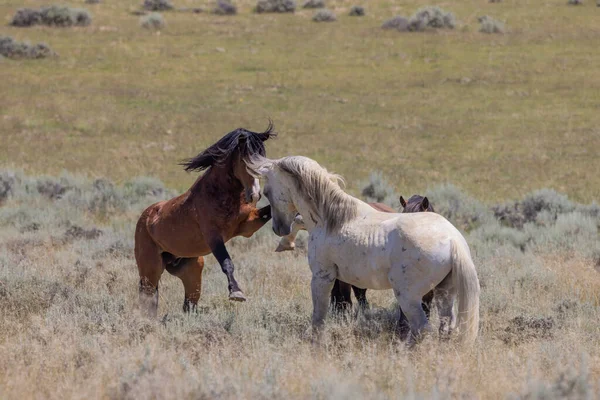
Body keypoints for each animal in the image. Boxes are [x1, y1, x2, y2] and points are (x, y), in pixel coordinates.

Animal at [135, 125, 276, 316]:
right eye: (245, 160)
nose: (254, 195)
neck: (219, 194)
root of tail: (145, 218)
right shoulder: (213, 237)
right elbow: (227, 263)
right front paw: (236, 293)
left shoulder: (248, 226)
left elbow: (268, 212)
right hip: (150, 270)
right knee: (148, 299)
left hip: (191, 270)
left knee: (188, 304)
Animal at [254, 155, 482, 346]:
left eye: (266, 192)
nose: (278, 228)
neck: (332, 218)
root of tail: (452, 239)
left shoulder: (322, 276)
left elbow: (319, 316)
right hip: (444, 293)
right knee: (446, 327)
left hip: (408, 296)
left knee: (422, 328)